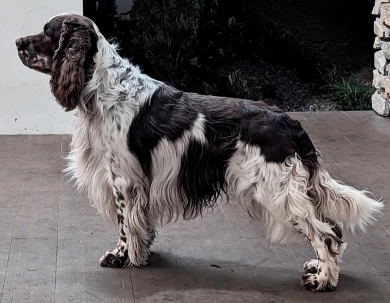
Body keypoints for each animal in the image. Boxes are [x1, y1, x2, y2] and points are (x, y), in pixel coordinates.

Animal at [16, 13, 384, 292]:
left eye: (47, 33)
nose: (18, 43)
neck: (102, 88)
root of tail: (289, 122)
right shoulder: (140, 183)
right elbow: (142, 224)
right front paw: (143, 252)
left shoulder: (123, 180)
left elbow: (124, 224)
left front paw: (121, 256)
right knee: (331, 228)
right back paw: (319, 269)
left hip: (278, 191)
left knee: (326, 234)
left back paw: (322, 281)